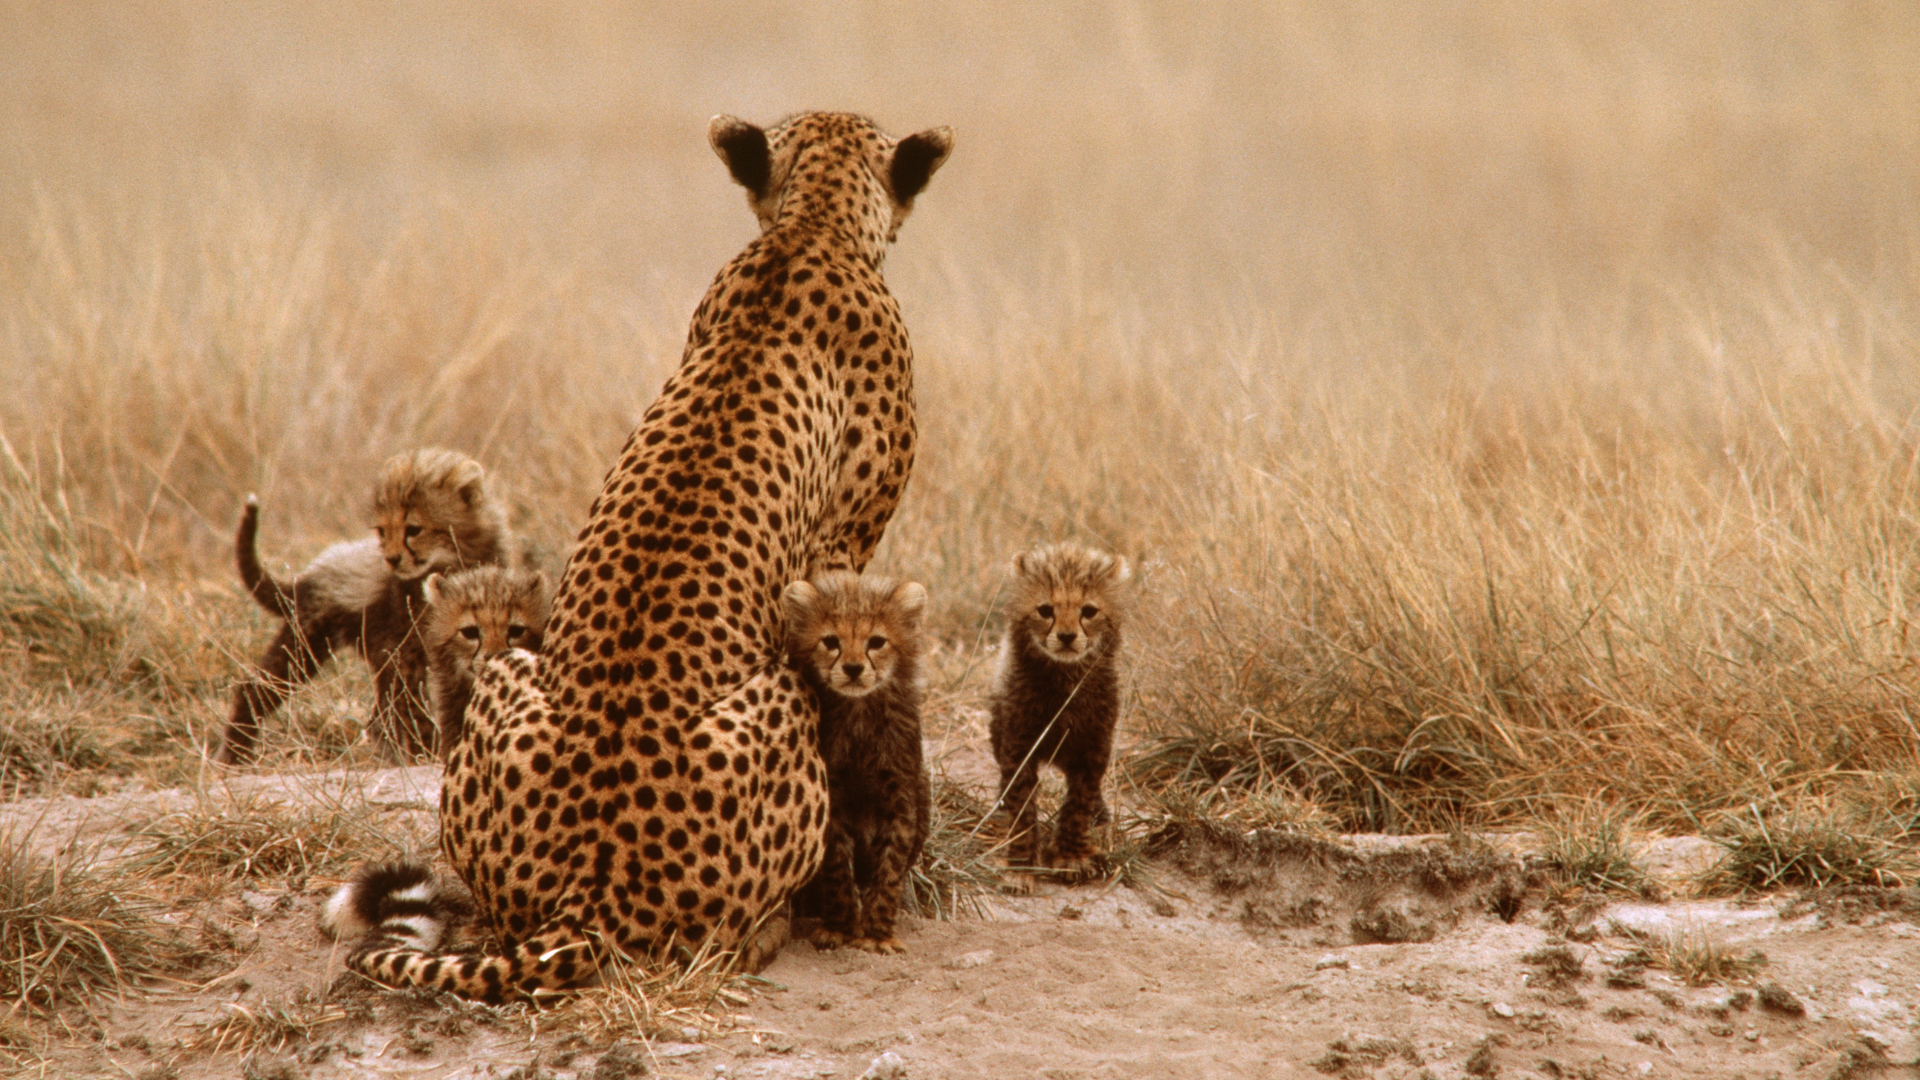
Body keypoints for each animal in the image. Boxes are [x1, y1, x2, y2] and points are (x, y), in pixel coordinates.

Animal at [339, 113, 960, 999]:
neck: (812, 227)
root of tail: (588, 893)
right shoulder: (842, 550)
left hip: (510, 674)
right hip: (777, 696)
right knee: (727, 934)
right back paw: (772, 928)